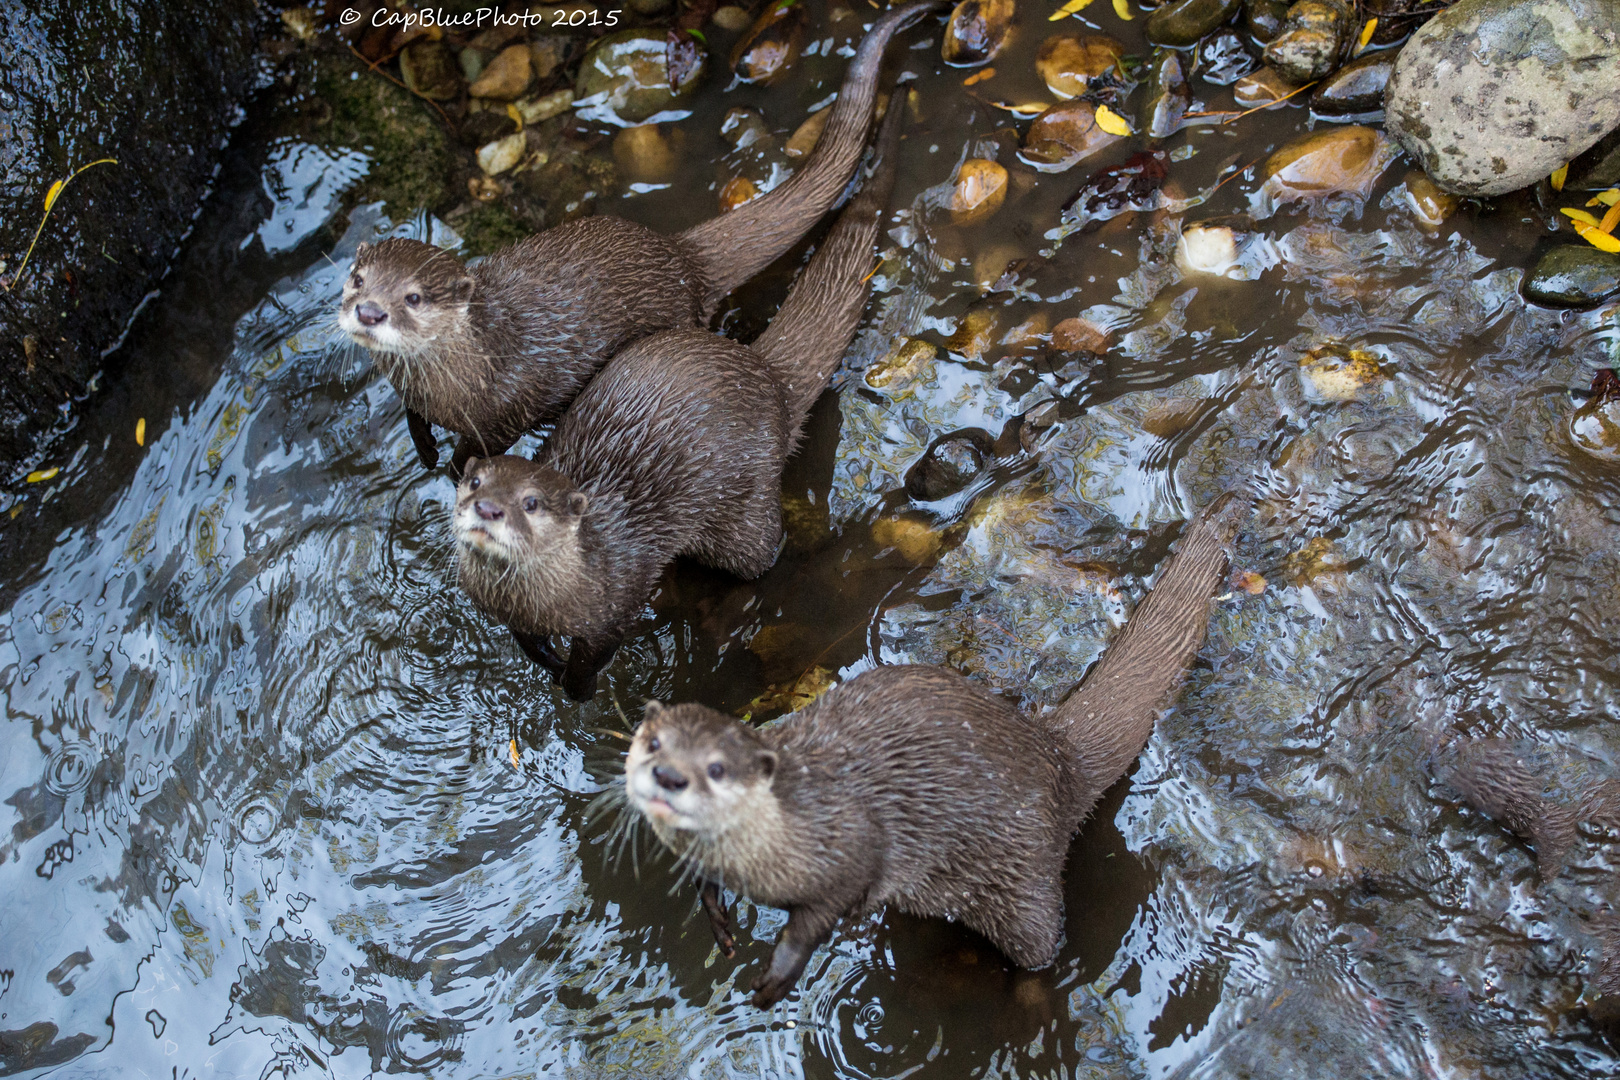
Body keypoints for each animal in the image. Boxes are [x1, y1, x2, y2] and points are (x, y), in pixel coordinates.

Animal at [336, 0, 946, 472]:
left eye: (414, 297)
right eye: (357, 278)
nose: (370, 311)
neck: (465, 374)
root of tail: (682, 257)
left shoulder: (505, 409)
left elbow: (481, 449)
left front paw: (455, 466)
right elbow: (411, 416)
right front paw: (423, 447)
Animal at [450, 76, 920, 702]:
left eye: (530, 502)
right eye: (475, 481)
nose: (488, 507)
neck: (557, 592)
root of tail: (765, 376)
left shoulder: (618, 600)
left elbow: (596, 652)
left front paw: (578, 689)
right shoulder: (509, 616)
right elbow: (525, 642)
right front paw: (546, 663)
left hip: (744, 511)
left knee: (764, 557)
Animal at [612, 495, 1244, 1010]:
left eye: (716, 769)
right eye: (652, 743)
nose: (667, 776)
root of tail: (1055, 752)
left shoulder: (852, 845)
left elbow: (824, 912)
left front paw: (779, 973)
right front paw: (718, 920)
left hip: (1024, 873)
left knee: (1042, 944)